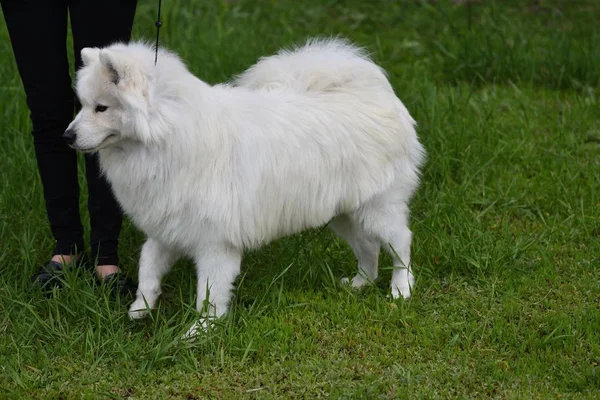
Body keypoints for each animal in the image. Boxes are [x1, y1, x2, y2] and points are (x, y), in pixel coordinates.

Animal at [65, 39, 426, 336]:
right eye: (81, 105)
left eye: (101, 108)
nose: (67, 136)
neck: (169, 137)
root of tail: (375, 92)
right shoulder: (167, 226)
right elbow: (148, 268)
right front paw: (141, 308)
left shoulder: (214, 243)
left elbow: (209, 293)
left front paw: (201, 330)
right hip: (343, 214)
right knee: (368, 248)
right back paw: (360, 283)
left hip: (377, 209)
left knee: (401, 243)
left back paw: (400, 289)